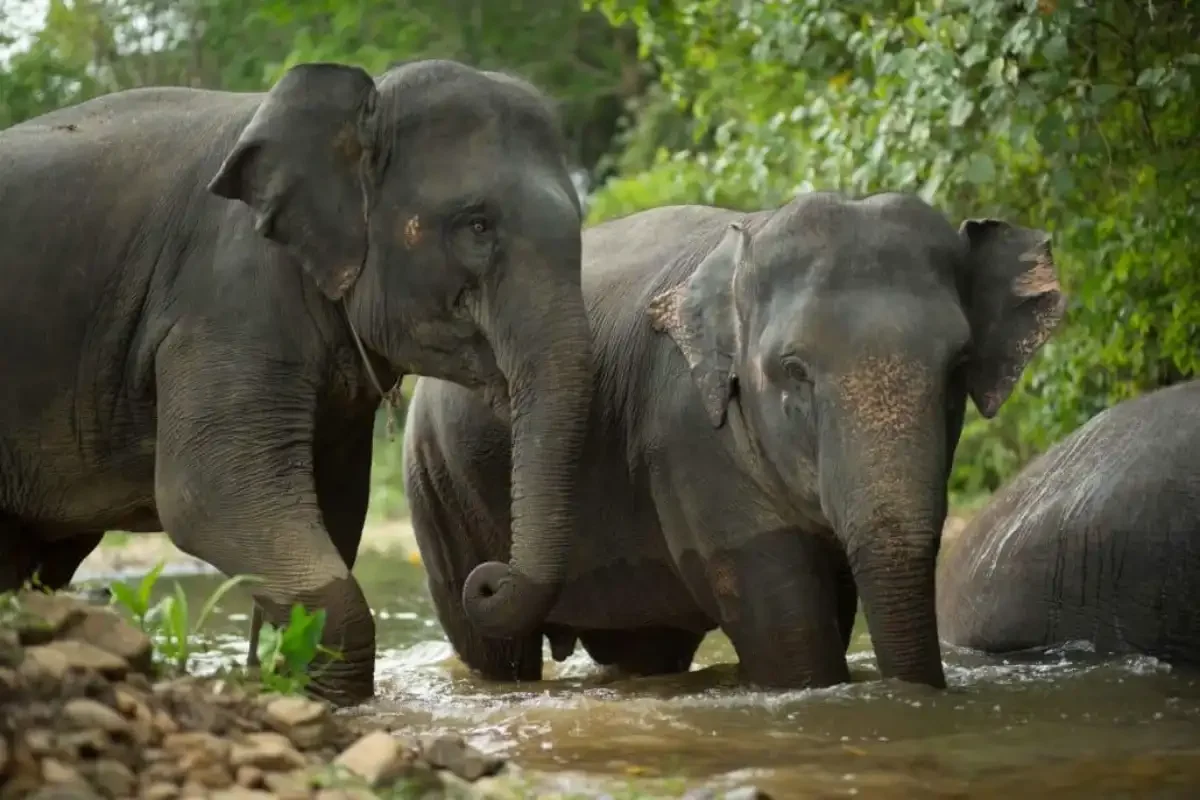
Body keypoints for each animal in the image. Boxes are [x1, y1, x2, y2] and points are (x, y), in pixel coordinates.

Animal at [0, 58, 593, 706]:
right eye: (477, 225)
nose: (487, 579)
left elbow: (336, 507)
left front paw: (285, 676)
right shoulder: (226, 302)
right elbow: (208, 496)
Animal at [402, 192, 1066, 689]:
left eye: (958, 368)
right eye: (793, 370)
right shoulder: (688, 435)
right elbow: (793, 636)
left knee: (646, 646)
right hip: (436, 486)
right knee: (493, 649)